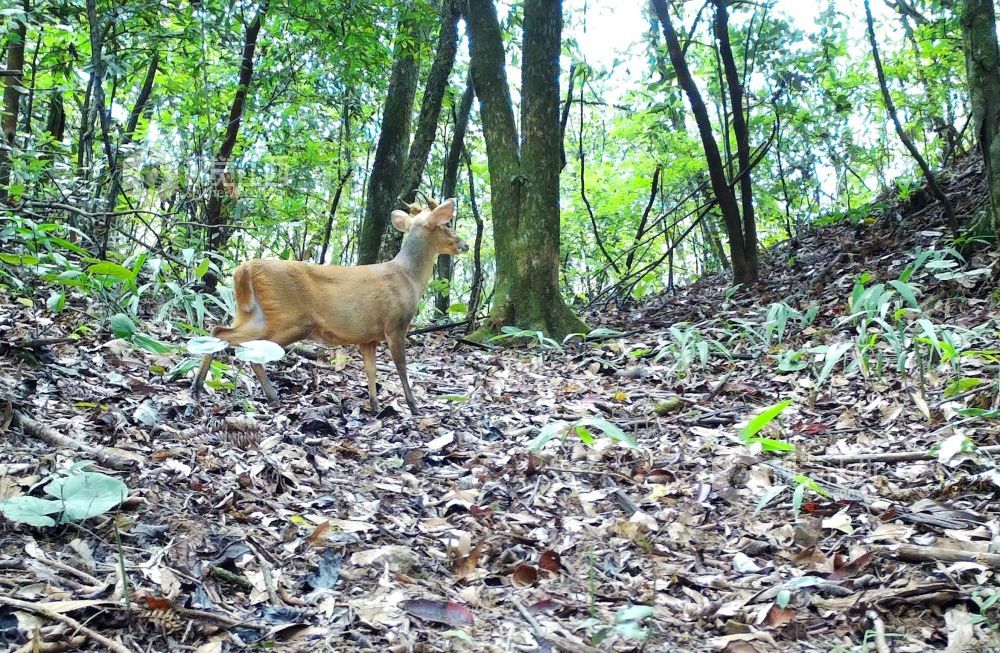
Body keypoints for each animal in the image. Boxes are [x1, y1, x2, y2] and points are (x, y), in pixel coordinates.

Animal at [194, 196, 468, 416]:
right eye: (447, 224)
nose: (464, 244)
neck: (408, 277)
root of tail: (246, 268)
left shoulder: (368, 337)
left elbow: (371, 370)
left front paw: (375, 405)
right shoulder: (396, 324)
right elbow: (401, 367)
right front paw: (413, 406)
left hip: (256, 314)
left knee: (220, 331)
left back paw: (199, 387)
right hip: (291, 319)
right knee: (251, 349)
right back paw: (269, 396)